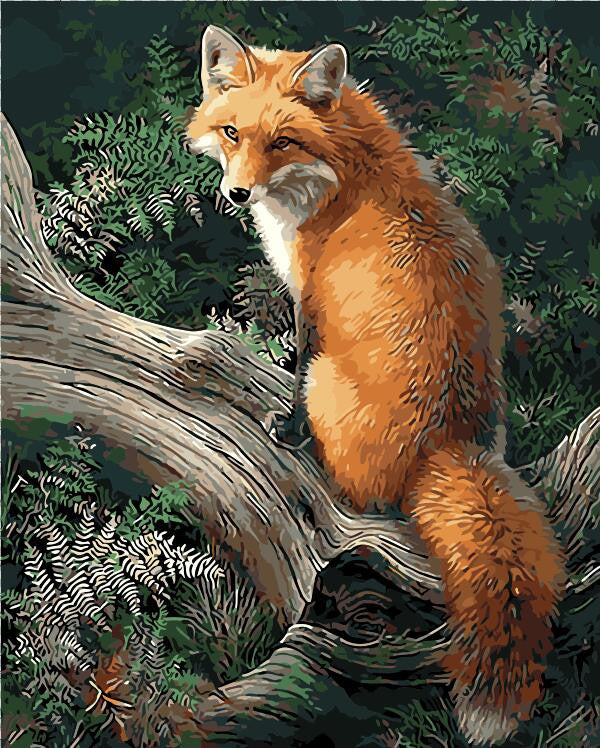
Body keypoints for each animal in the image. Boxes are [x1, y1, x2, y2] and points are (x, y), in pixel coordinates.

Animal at [186, 25, 565, 746]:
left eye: (282, 141)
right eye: (231, 132)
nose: (237, 195)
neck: (346, 169)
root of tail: (447, 446)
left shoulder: (309, 299)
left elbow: (295, 366)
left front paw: (285, 428)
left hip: (333, 387)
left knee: (356, 489)